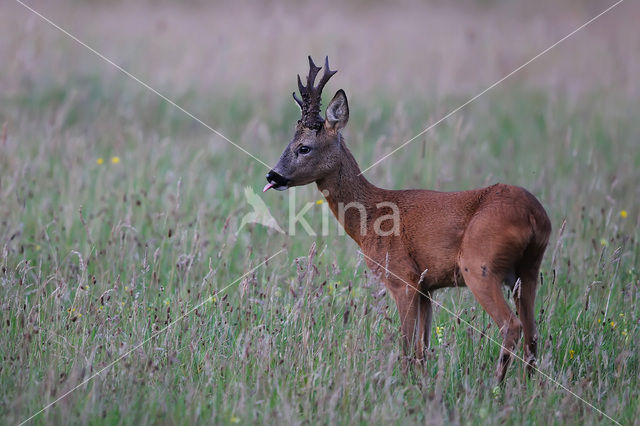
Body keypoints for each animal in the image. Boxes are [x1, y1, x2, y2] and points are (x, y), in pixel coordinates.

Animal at [264, 56, 552, 382]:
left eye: (304, 147)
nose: (272, 175)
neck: (370, 217)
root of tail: (533, 215)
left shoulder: (403, 278)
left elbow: (406, 347)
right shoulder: (427, 287)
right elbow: (422, 350)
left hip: (480, 265)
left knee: (511, 325)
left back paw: (496, 385)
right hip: (528, 270)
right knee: (532, 334)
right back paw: (527, 386)